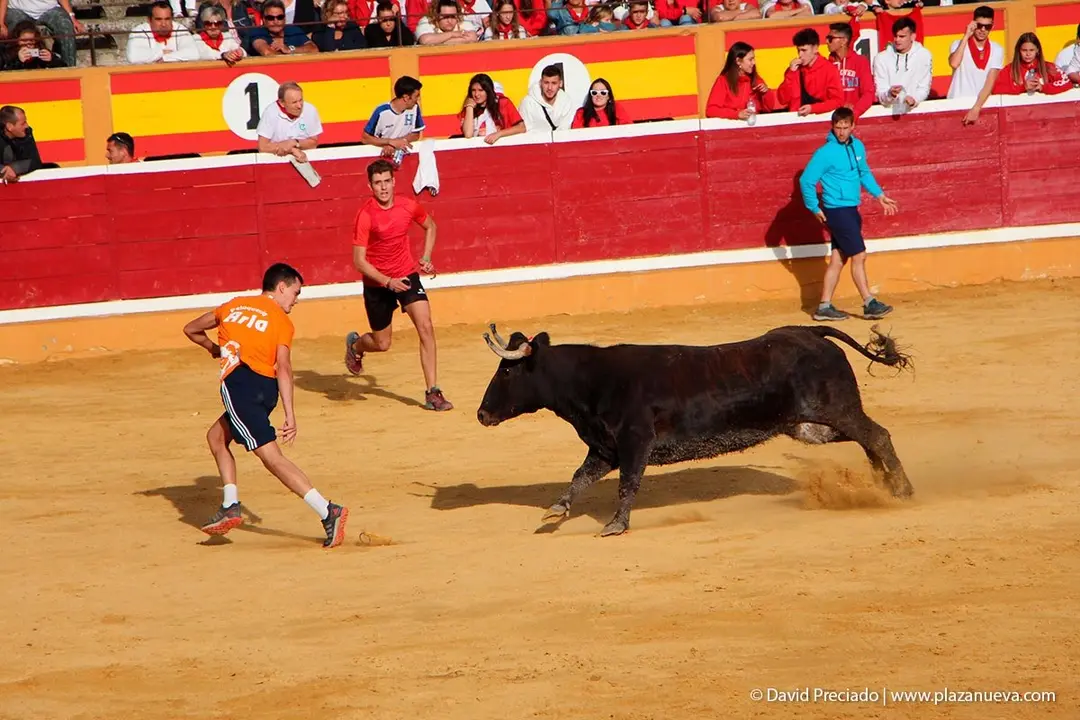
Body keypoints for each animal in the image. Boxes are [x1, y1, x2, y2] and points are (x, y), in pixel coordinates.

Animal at [476, 322, 914, 537]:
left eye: (507, 371)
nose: (481, 414)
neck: (591, 381)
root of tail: (808, 331)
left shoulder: (636, 442)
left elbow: (627, 485)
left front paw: (615, 525)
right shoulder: (605, 448)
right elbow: (580, 477)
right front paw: (556, 510)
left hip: (835, 409)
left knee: (877, 436)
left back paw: (902, 491)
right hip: (807, 425)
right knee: (868, 440)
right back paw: (883, 485)